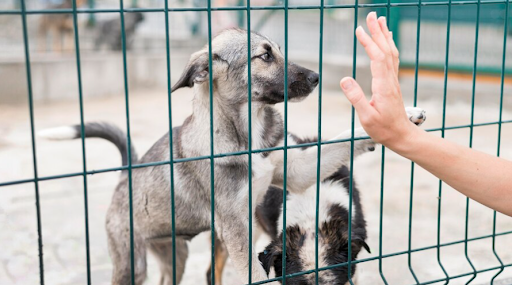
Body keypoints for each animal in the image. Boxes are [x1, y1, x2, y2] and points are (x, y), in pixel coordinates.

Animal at [40, 29, 376, 284]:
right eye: (265, 56)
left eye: (279, 51)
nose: (316, 76)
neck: (246, 133)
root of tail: (126, 175)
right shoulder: (235, 229)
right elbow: (256, 275)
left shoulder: (295, 173)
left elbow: (339, 142)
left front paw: (382, 123)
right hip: (131, 264)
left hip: (174, 256)